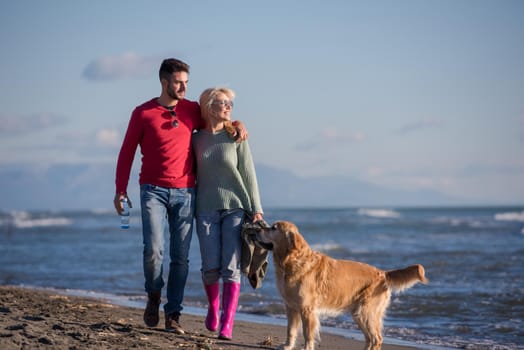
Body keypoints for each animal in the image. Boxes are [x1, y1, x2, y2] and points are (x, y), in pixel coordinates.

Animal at [256, 221, 428, 350]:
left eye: (274, 228)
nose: (257, 229)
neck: (291, 261)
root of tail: (382, 273)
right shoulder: (291, 306)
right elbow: (290, 330)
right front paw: (287, 346)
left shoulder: (307, 308)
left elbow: (307, 333)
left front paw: (306, 348)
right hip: (359, 313)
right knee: (369, 339)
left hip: (366, 312)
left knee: (377, 338)